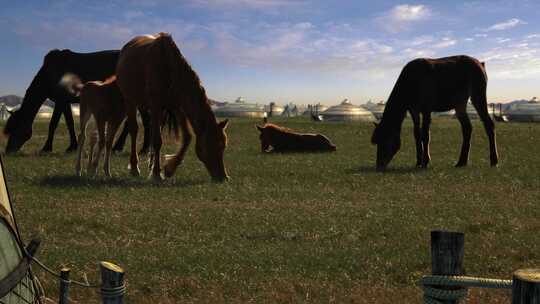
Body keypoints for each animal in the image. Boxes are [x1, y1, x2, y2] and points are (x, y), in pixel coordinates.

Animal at [4, 50, 151, 156]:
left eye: (16, 128)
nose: (8, 151)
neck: (51, 73)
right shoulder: (64, 102)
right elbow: (69, 123)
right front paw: (72, 147)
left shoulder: (61, 101)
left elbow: (53, 124)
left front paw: (46, 148)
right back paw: (123, 147)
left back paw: (140, 149)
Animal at [117, 33, 229, 180]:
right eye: (213, 145)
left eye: (224, 146)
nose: (223, 177)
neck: (169, 67)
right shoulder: (156, 105)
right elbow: (158, 140)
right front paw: (156, 174)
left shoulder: (178, 107)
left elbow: (187, 137)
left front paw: (169, 168)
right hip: (130, 101)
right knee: (134, 130)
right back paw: (135, 168)